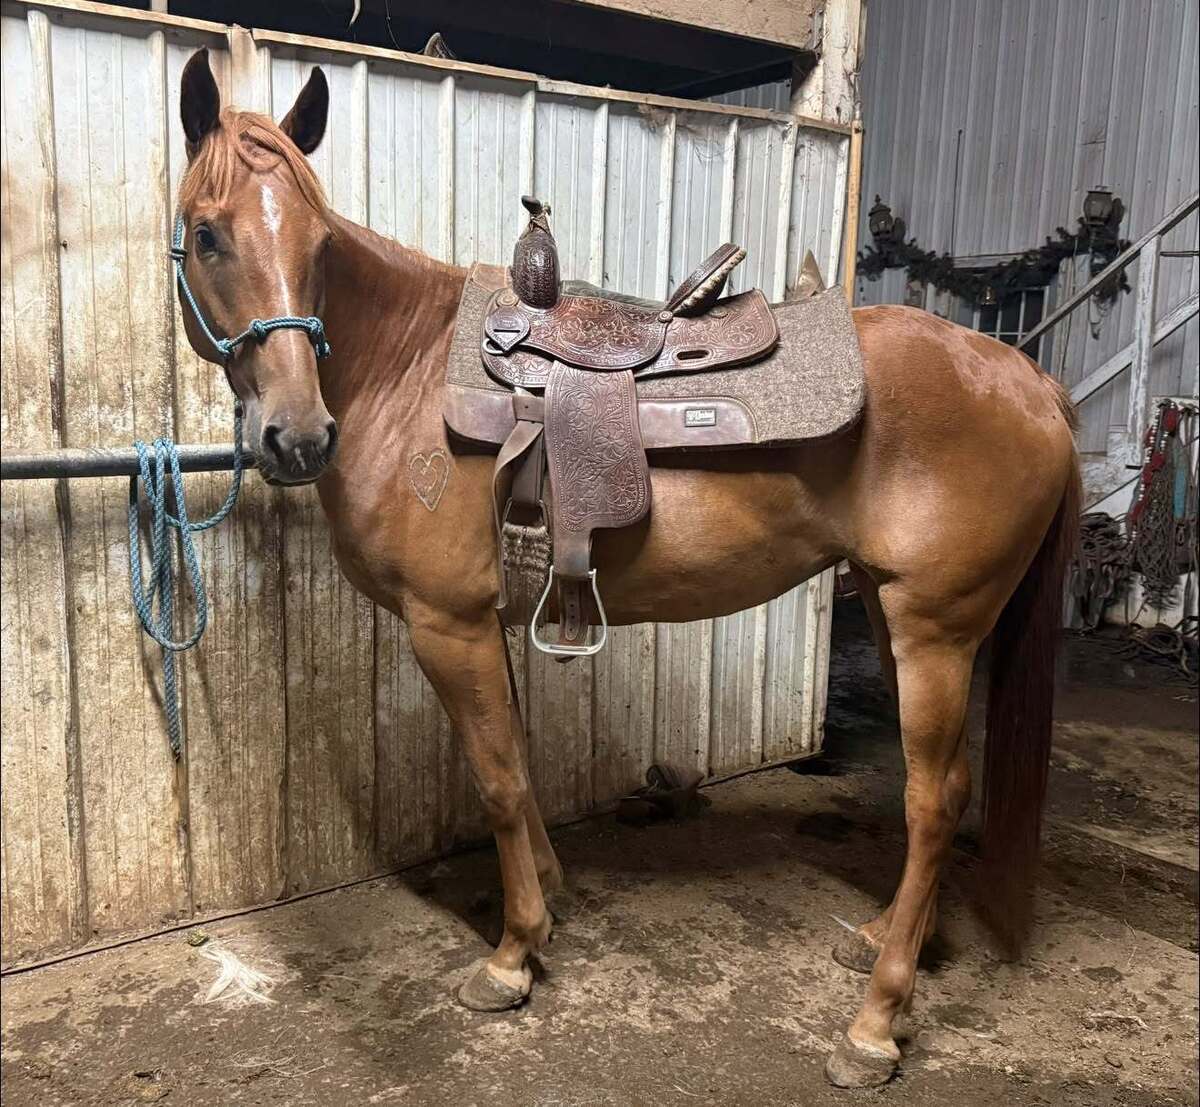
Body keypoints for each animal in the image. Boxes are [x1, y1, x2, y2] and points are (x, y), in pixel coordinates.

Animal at [172, 50, 1080, 1088]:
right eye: (208, 234)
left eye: (317, 241)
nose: (298, 435)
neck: (402, 379)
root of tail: (1028, 379)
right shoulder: (488, 622)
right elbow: (520, 762)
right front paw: (549, 901)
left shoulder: (447, 624)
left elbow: (495, 779)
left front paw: (513, 953)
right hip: (902, 623)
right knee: (948, 790)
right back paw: (888, 937)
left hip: (936, 630)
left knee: (932, 802)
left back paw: (876, 1019)